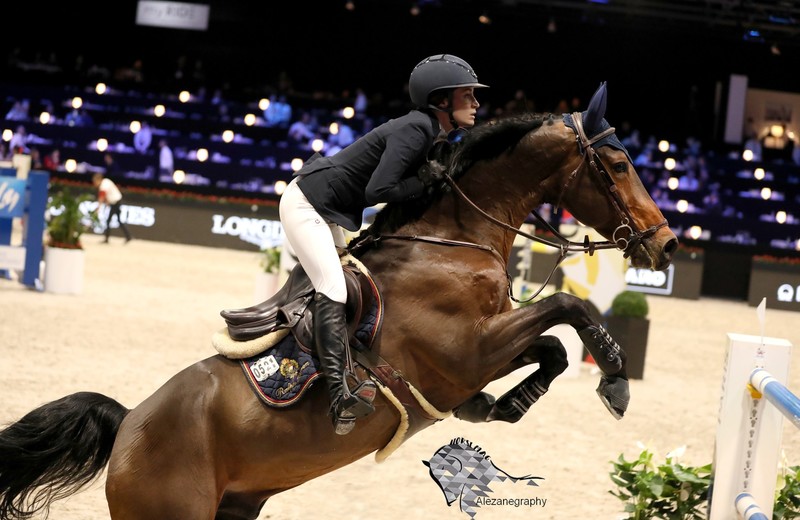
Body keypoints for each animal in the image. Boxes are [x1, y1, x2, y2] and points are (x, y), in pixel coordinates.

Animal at [0, 83, 676, 516]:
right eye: (617, 165)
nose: (666, 244)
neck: (452, 241)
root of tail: (127, 427)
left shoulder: (485, 346)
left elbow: (552, 346)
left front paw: (501, 406)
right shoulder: (464, 349)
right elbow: (570, 311)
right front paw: (616, 382)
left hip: (236, 503)